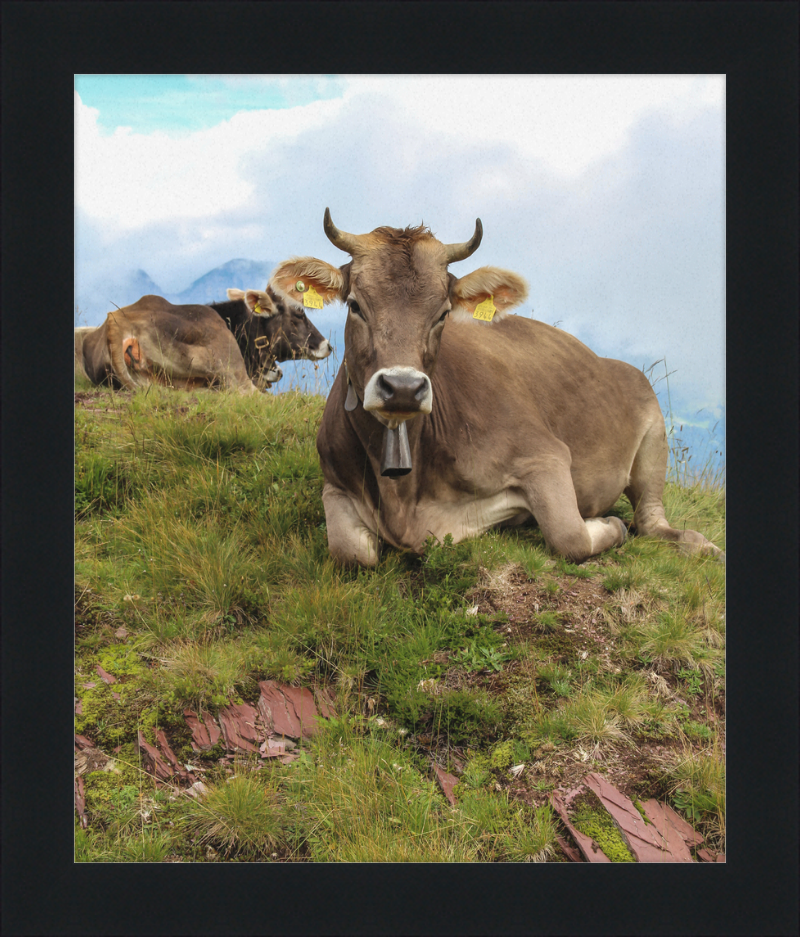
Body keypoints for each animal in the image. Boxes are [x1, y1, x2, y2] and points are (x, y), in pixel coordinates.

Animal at [270, 209, 724, 568]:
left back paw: (699, 544)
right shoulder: (335, 483)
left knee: (650, 520)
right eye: (355, 305)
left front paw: (608, 524)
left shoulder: (545, 455)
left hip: (654, 434)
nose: (402, 388)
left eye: (443, 313)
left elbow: (571, 536)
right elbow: (351, 553)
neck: (402, 495)